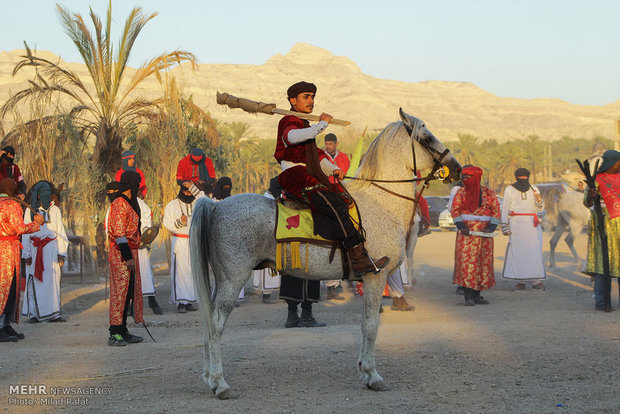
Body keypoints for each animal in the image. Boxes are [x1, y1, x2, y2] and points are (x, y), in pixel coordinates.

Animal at [189, 109, 460, 398]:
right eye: (426, 137)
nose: (457, 169)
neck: (381, 203)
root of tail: (215, 206)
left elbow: (364, 325)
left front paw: (364, 370)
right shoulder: (376, 276)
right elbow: (371, 325)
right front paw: (373, 375)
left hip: (221, 280)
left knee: (208, 320)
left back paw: (208, 377)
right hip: (233, 279)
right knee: (216, 323)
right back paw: (219, 383)